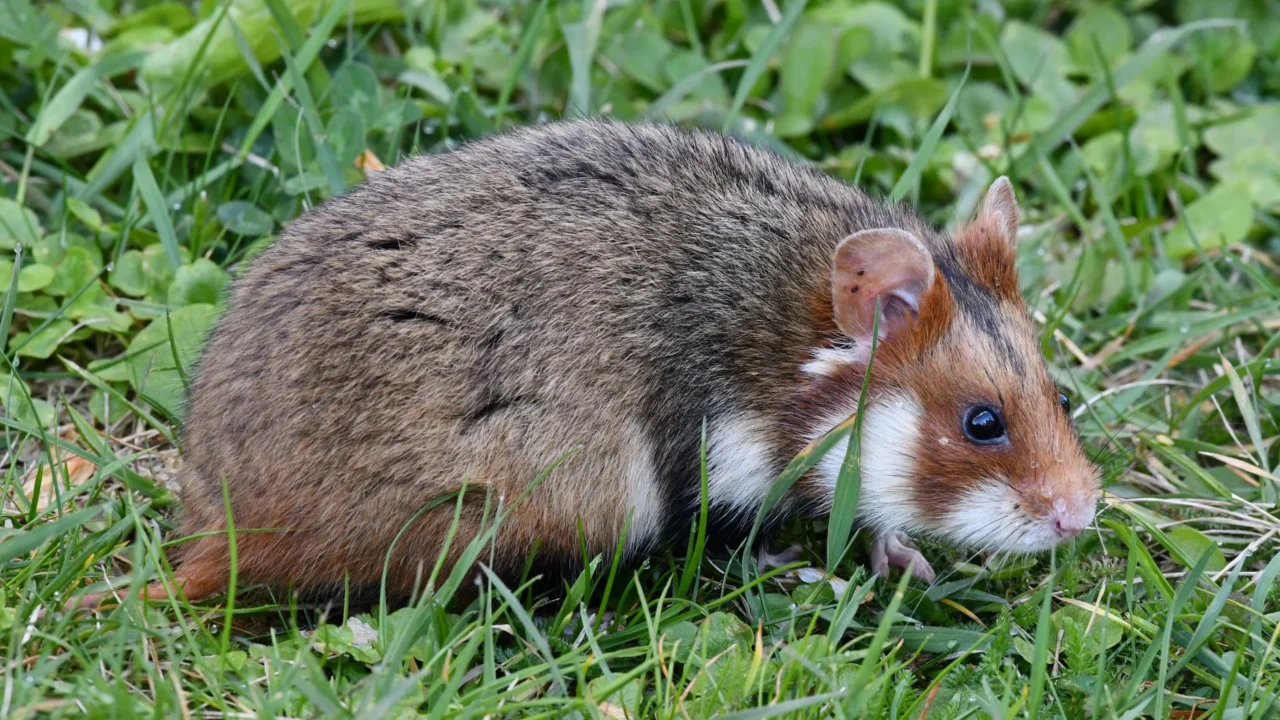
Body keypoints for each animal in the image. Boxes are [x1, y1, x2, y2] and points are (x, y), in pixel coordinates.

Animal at [75, 120, 1100, 608]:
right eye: (981, 423)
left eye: (1059, 394)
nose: (1084, 516)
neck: (779, 338)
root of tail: (218, 540)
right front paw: (822, 566)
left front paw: (900, 555)